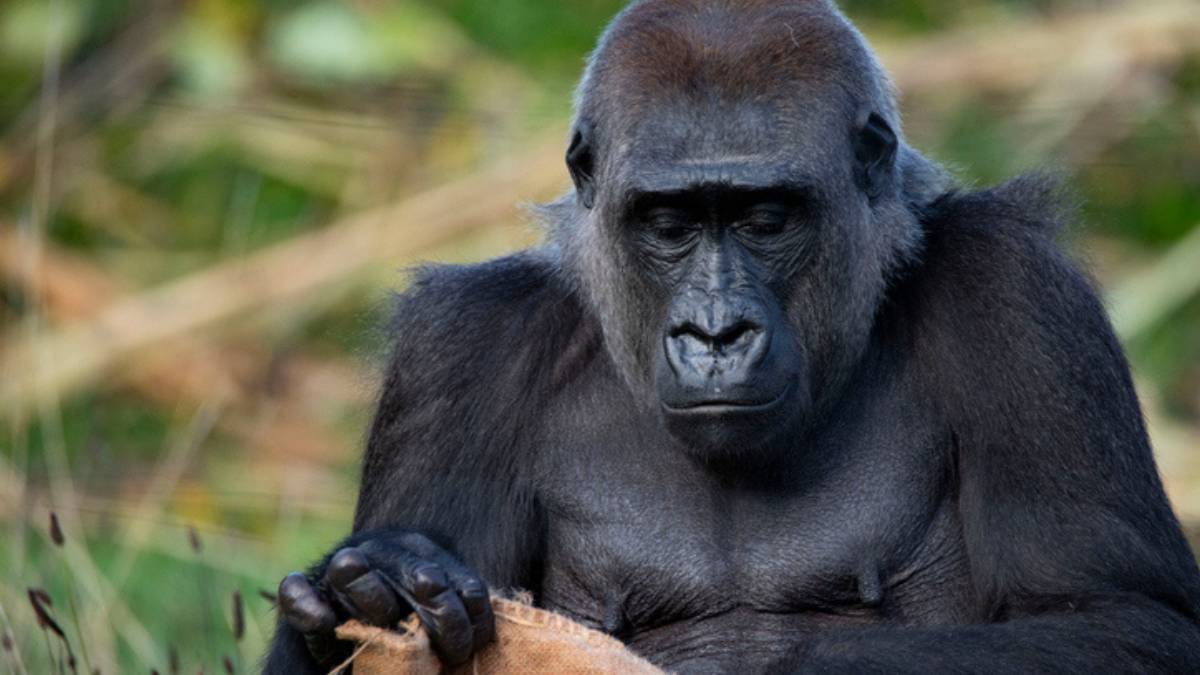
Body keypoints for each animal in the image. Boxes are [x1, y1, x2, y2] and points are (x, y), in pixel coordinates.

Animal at [267, 2, 1200, 667]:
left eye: (765, 218)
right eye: (670, 224)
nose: (716, 333)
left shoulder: (1020, 296)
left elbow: (1119, 618)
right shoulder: (459, 353)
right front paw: (367, 589)